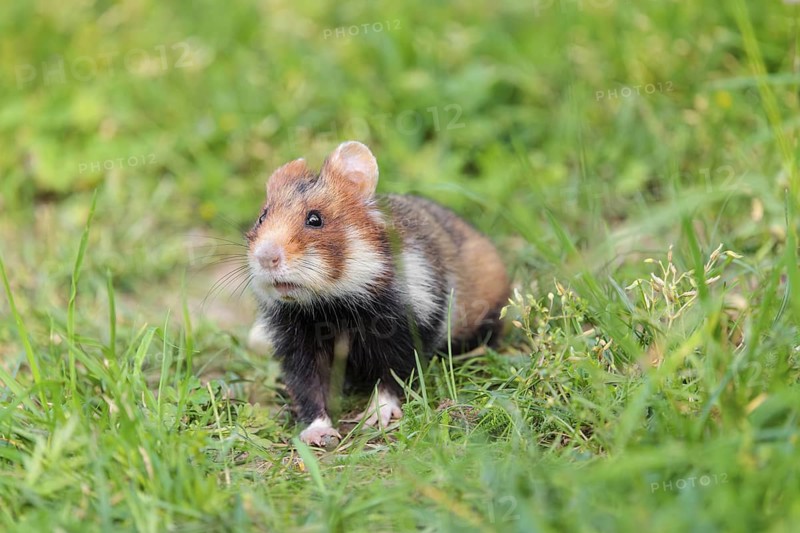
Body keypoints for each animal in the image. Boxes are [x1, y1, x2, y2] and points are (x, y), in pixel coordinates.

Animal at [246, 141, 510, 446]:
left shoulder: (407, 329)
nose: (265, 258)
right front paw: (318, 434)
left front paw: (376, 418)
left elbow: (392, 377)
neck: (332, 304)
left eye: (315, 219)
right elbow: (309, 390)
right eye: (262, 217)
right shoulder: (298, 346)